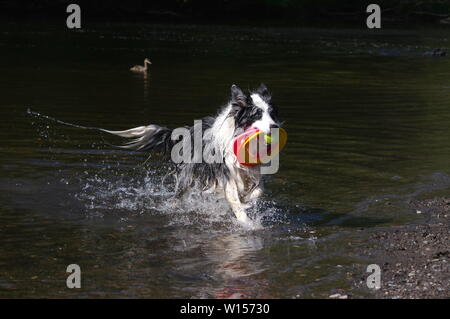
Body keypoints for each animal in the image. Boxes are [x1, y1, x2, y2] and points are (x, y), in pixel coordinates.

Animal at [105, 84, 282, 225]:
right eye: (257, 114)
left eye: (272, 113)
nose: (275, 126)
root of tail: (186, 131)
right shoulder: (225, 171)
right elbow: (233, 197)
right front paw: (246, 221)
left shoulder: (254, 171)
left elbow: (258, 190)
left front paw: (247, 201)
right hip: (186, 175)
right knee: (177, 196)